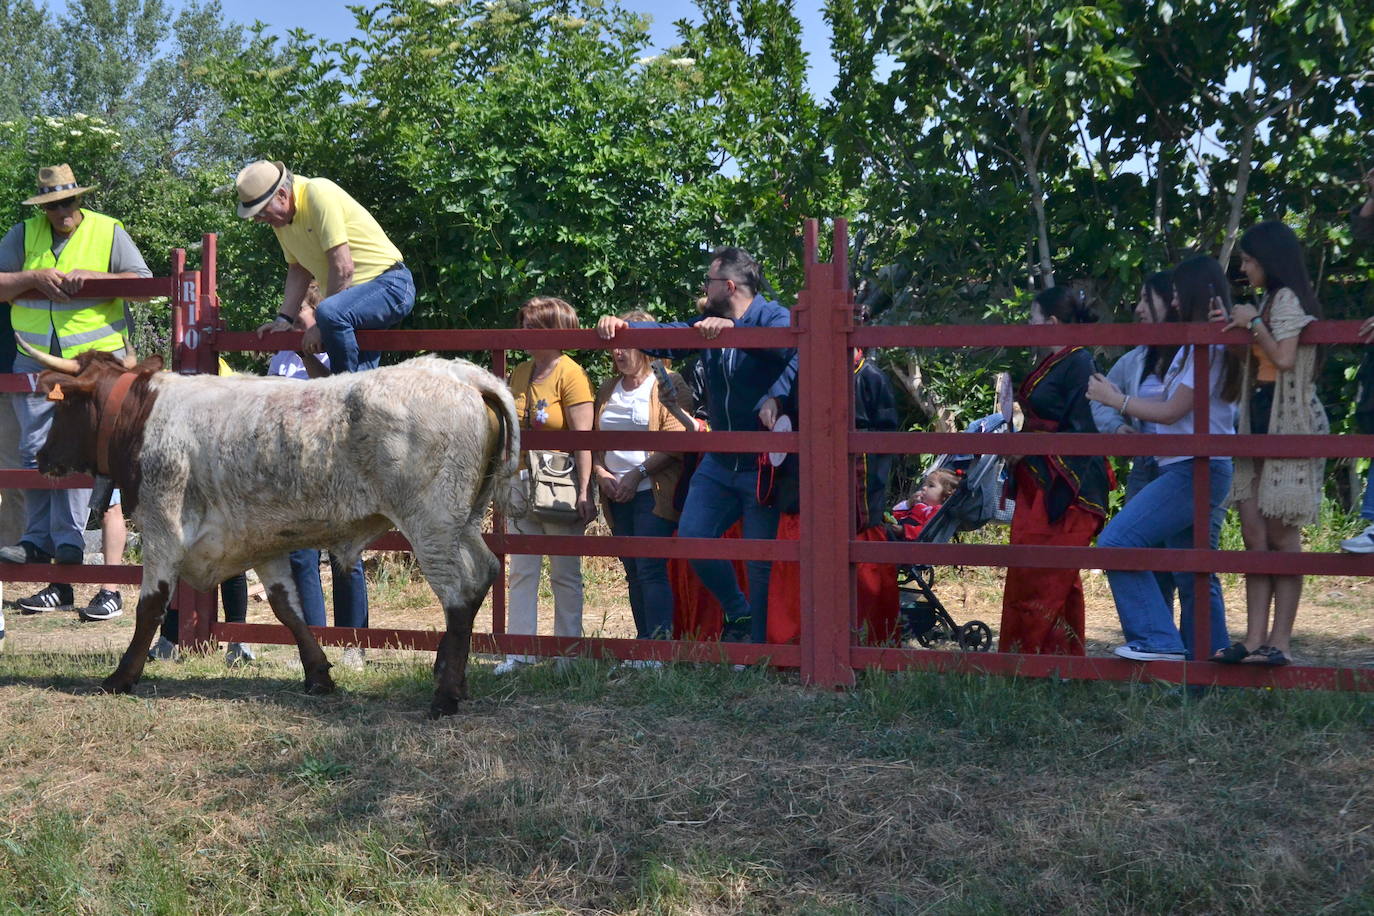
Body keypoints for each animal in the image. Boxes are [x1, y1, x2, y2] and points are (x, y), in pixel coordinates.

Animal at [21, 343, 516, 714]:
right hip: (464, 521)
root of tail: (462, 374)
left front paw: (122, 676)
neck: (144, 417)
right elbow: (288, 609)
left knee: (459, 591)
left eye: (62, 407)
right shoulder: (262, 542)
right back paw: (454, 678)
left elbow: (150, 608)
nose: (41, 458)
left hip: (432, 524)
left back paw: (446, 695)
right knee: (485, 574)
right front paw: (317, 674)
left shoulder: (163, 531)